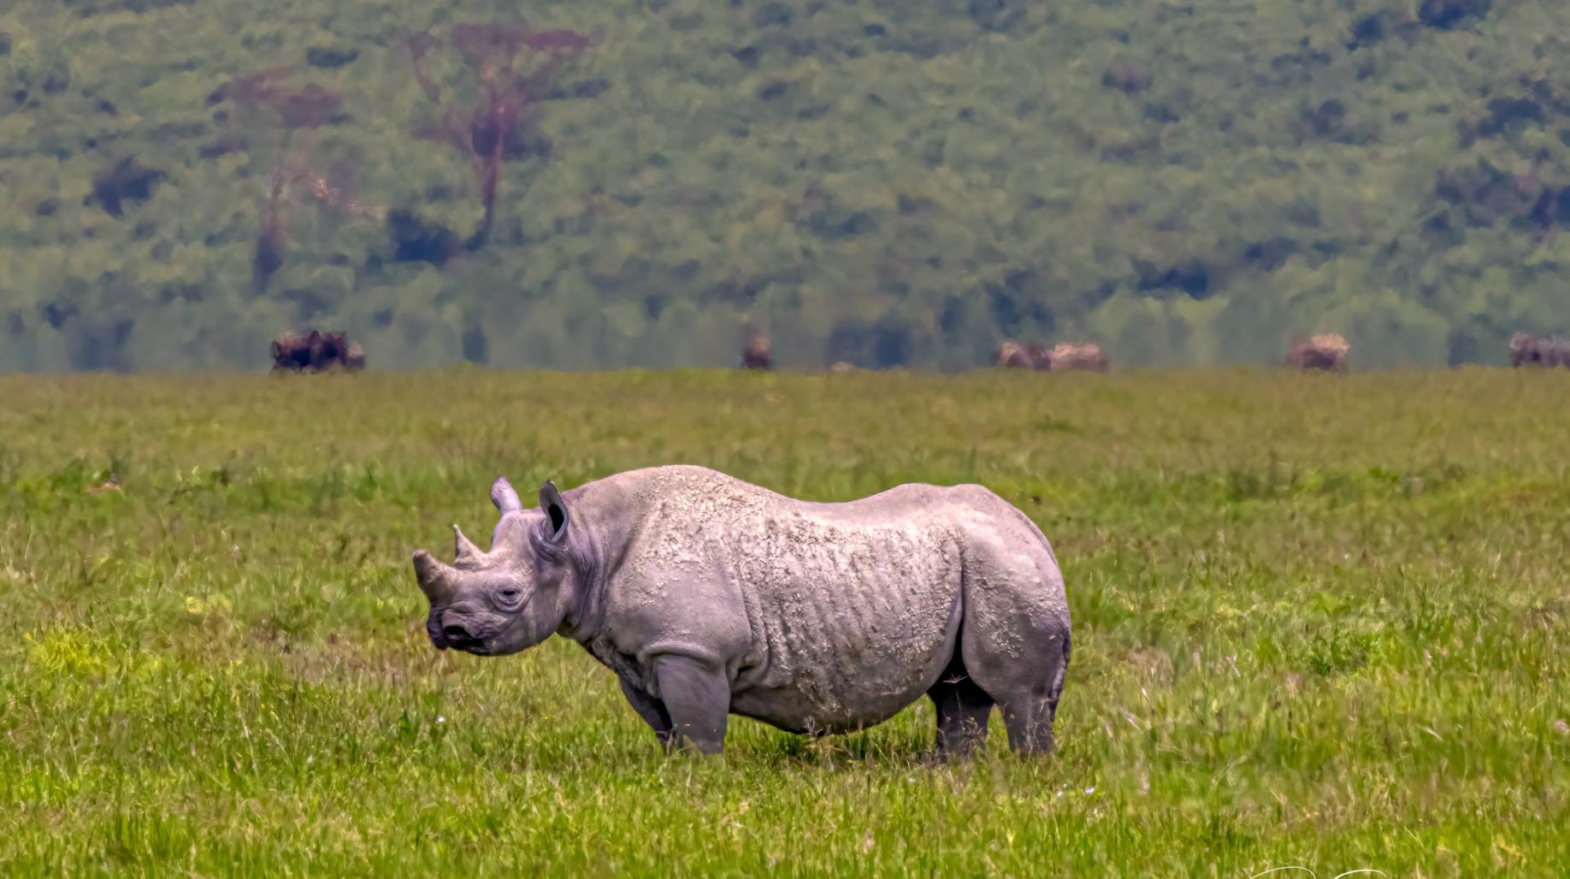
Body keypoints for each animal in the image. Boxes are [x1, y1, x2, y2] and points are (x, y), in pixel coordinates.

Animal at [411, 465, 1072, 757]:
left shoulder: (691, 649)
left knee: (1017, 695)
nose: (445, 628)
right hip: (986, 562)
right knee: (959, 693)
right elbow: (666, 728)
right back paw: (951, 777)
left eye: (508, 596)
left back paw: (1024, 776)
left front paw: (702, 784)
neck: (586, 543)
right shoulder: (641, 652)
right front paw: (673, 777)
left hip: (1004, 568)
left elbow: (699, 727)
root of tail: (1032, 531)